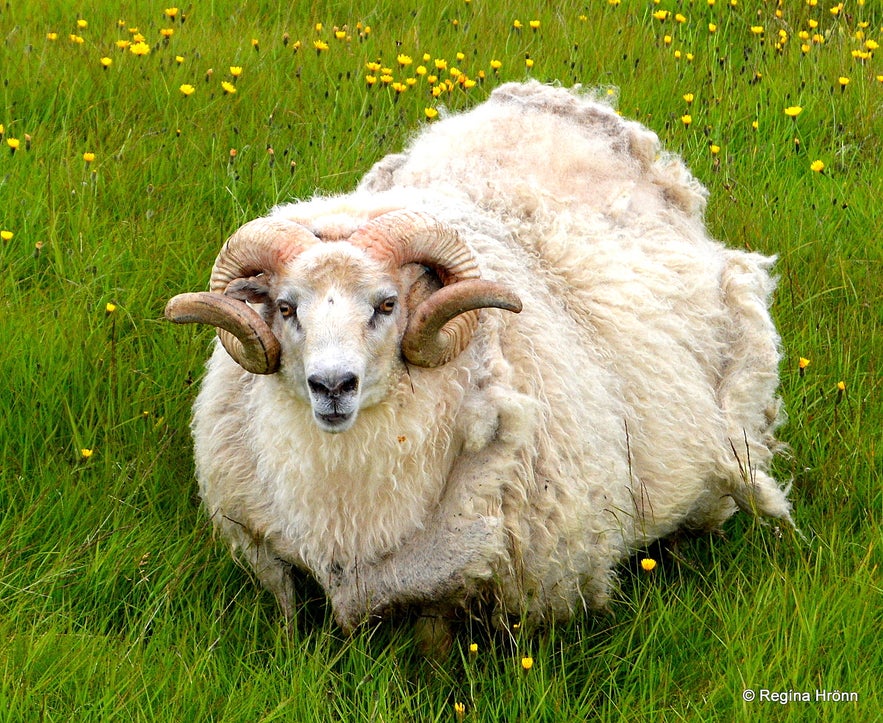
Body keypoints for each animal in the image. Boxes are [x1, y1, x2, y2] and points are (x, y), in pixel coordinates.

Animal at [166, 82, 796, 648]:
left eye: (388, 305)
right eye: (285, 307)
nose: (332, 386)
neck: (348, 504)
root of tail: (557, 97)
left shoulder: (463, 575)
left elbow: (434, 649)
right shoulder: (264, 549)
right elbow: (292, 617)